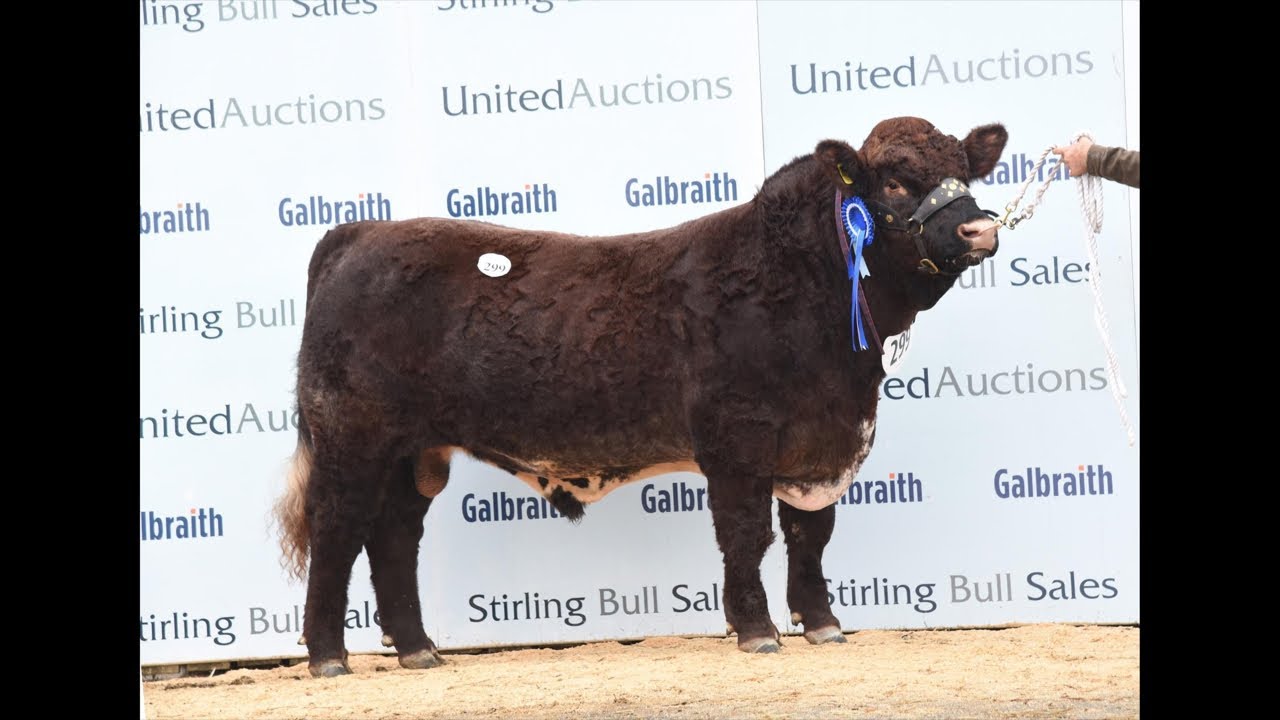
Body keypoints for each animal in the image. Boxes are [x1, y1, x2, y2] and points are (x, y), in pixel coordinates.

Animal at [274, 116, 1009, 677]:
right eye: (896, 181)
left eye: (966, 176)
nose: (980, 229)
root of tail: (361, 232)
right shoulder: (736, 440)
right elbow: (747, 533)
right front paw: (757, 630)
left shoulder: (821, 444)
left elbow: (811, 534)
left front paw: (824, 624)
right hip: (351, 436)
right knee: (337, 529)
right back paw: (328, 656)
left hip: (414, 451)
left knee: (394, 536)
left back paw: (419, 649)